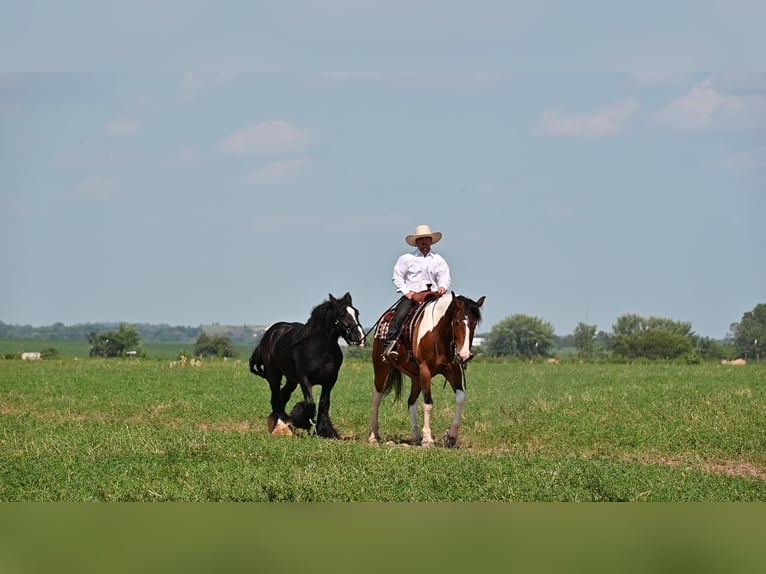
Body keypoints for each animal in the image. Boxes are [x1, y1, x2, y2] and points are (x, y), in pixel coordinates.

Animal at [249, 294, 364, 438]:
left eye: (356, 313)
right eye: (341, 314)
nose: (359, 337)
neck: (321, 352)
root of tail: (270, 332)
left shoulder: (330, 381)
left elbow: (324, 404)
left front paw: (325, 431)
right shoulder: (304, 379)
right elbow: (310, 404)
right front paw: (301, 420)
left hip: (291, 379)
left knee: (283, 395)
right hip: (274, 374)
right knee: (275, 397)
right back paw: (280, 426)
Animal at [370, 292, 486, 450]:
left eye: (474, 324)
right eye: (456, 322)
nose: (465, 355)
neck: (437, 334)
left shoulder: (453, 371)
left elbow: (461, 398)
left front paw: (451, 437)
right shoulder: (425, 370)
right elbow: (428, 403)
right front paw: (428, 440)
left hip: (415, 377)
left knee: (411, 401)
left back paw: (416, 436)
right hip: (381, 367)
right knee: (377, 398)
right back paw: (374, 436)